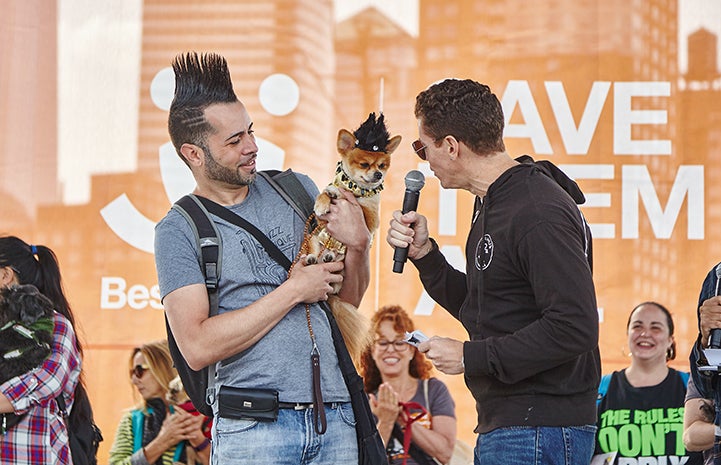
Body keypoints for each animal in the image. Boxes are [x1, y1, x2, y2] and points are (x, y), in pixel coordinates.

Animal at [296, 113, 400, 362]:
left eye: (383, 165)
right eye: (364, 164)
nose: (378, 174)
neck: (355, 189)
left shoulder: (370, 219)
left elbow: (358, 208)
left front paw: (339, 196)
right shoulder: (321, 221)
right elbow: (325, 195)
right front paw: (326, 199)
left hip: (341, 268)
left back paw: (329, 258)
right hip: (313, 240)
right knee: (312, 255)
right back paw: (313, 259)